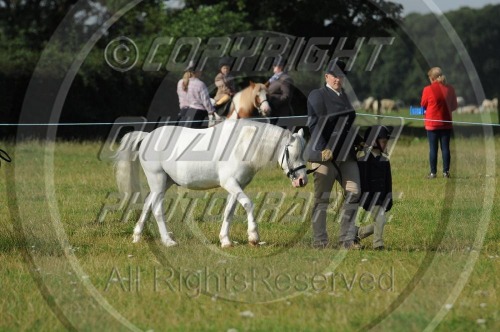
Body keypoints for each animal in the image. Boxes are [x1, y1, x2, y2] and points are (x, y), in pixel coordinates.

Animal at [115, 118, 308, 246]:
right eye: (292, 153)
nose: (302, 180)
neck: (241, 145)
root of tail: (147, 137)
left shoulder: (237, 186)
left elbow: (229, 211)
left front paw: (226, 241)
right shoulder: (230, 183)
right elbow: (248, 204)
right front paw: (253, 237)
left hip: (164, 183)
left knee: (148, 204)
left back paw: (137, 236)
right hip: (158, 180)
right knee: (156, 209)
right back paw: (168, 241)